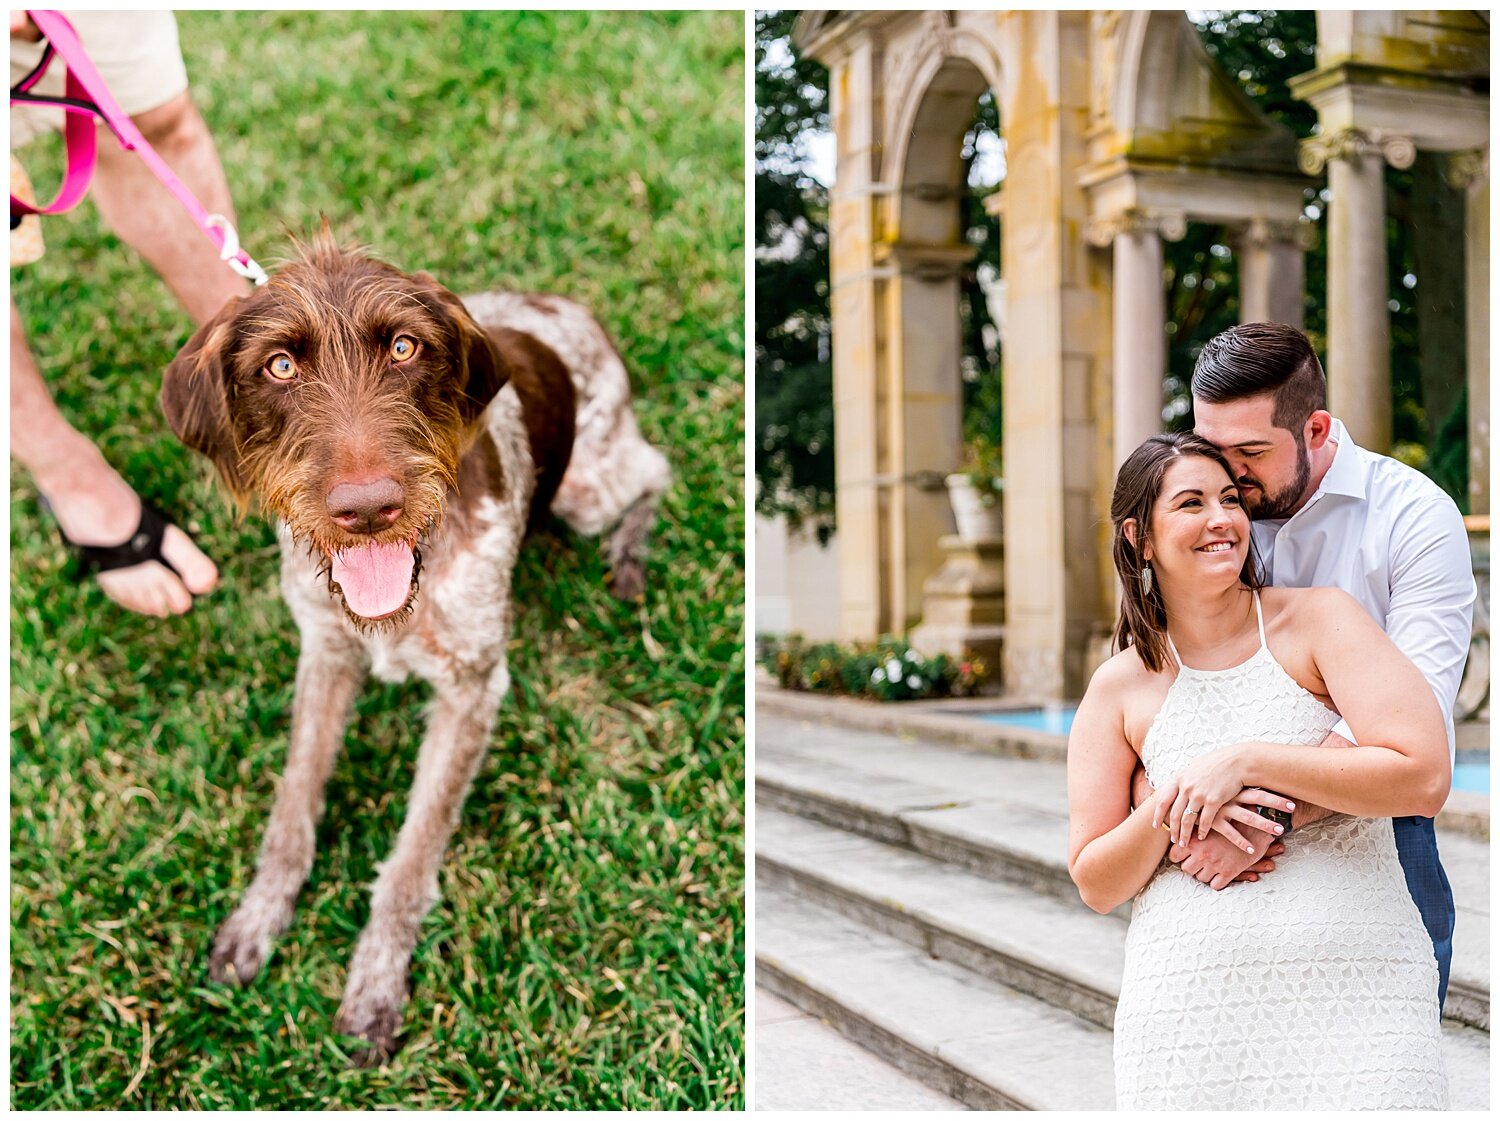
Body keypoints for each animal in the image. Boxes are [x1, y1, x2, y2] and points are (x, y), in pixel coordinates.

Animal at [158, 234, 669, 1062]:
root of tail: (569, 308)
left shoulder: (472, 687)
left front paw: (374, 983)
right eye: (279, 365)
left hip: (585, 489)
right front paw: (260, 916)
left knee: (654, 469)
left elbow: (411, 859)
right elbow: (292, 809)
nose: (368, 509)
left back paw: (631, 553)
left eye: (404, 347)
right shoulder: (324, 652)